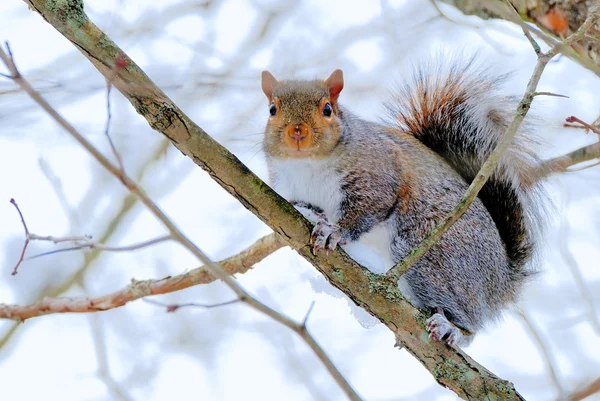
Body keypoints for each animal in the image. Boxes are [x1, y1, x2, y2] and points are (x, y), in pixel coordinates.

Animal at [260, 60, 548, 346]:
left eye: (327, 109)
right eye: (272, 110)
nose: (297, 132)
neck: (306, 165)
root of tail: (503, 281)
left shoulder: (378, 175)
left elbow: (367, 209)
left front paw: (334, 231)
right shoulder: (288, 186)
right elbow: (302, 203)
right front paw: (310, 213)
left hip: (435, 255)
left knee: (470, 323)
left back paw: (452, 328)